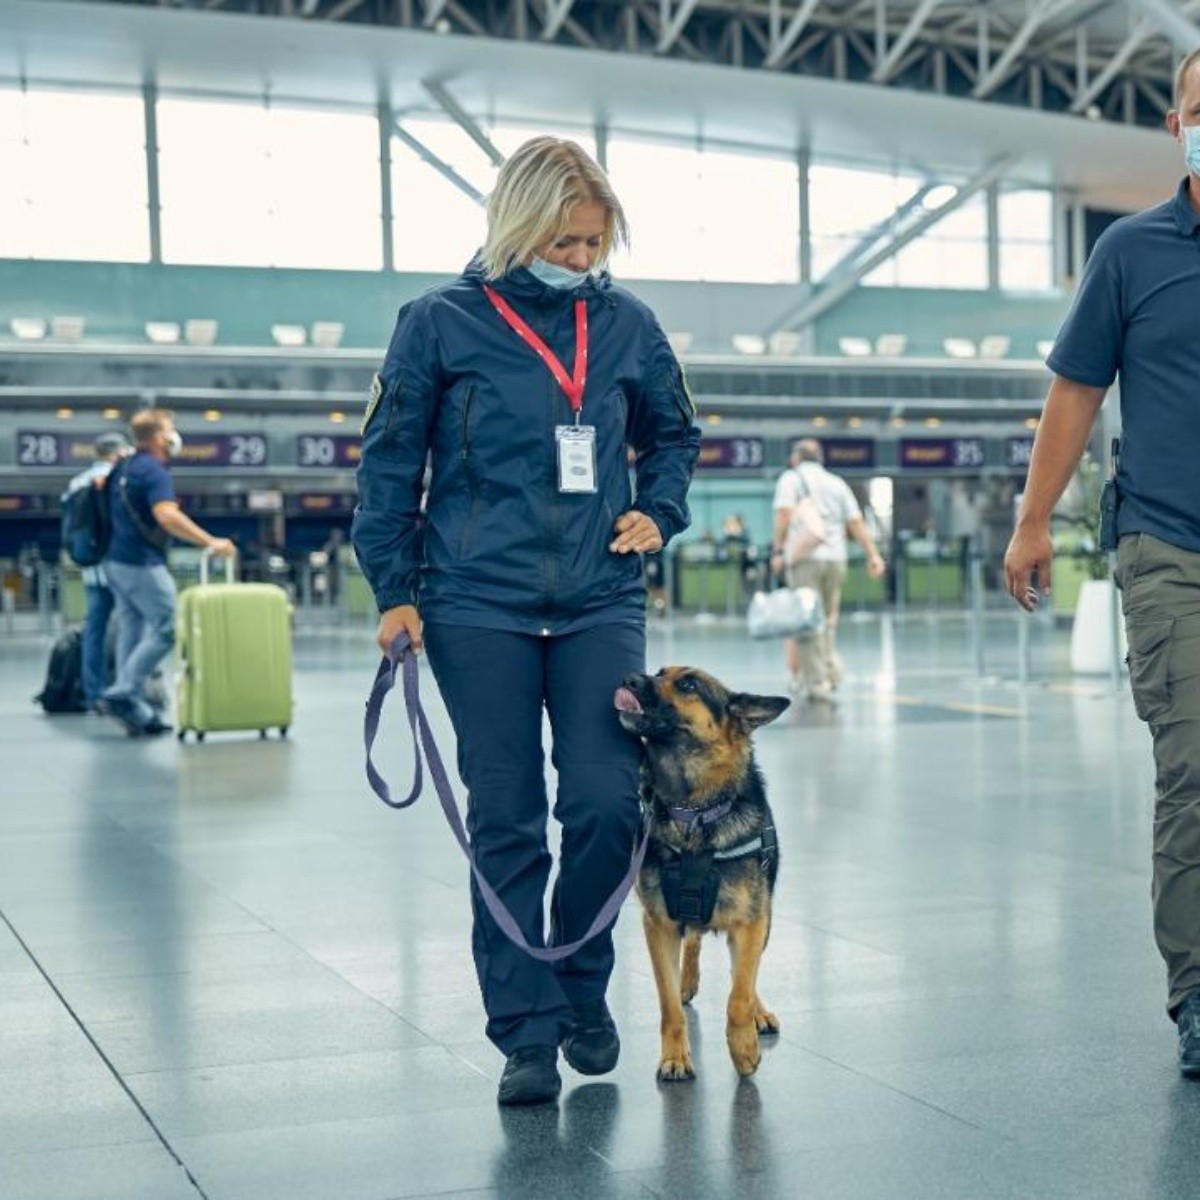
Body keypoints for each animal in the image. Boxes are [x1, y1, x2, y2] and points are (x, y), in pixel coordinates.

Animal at [614, 667, 792, 1080]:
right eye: (658, 672)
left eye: (688, 685)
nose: (630, 679)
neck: (693, 813)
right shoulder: (659, 926)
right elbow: (668, 1006)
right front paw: (675, 1056)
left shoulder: (750, 922)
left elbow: (739, 994)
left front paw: (744, 1047)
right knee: (694, 941)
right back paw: (688, 979)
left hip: (765, 919)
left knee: (745, 974)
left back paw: (758, 1012)